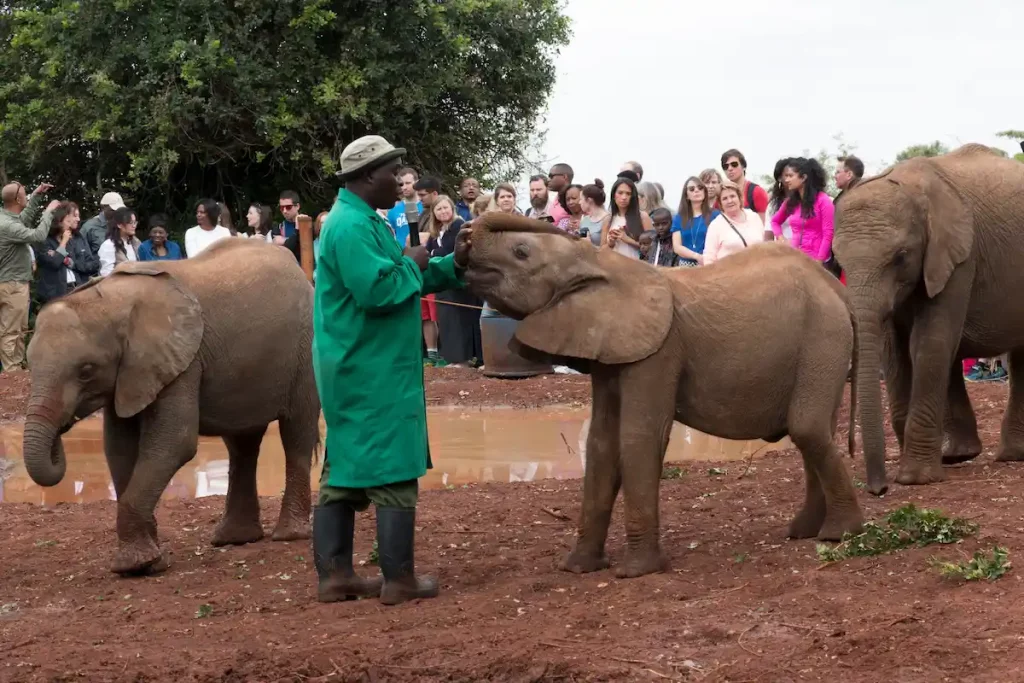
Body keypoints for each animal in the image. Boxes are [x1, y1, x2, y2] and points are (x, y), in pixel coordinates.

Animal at [23, 238, 320, 575]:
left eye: (86, 371)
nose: (62, 428)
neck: (112, 300)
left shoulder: (181, 363)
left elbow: (174, 443)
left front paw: (137, 566)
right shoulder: (131, 372)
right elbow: (119, 448)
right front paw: (150, 563)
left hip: (306, 348)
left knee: (296, 432)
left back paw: (288, 535)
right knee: (242, 443)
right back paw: (234, 539)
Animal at [463, 213, 864, 578]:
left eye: (521, 252)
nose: (462, 235)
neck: (599, 266)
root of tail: (838, 289)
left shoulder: (658, 353)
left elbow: (638, 437)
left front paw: (635, 572)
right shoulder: (608, 349)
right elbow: (601, 443)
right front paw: (577, 568)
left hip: (823, 335)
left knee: (808, 428)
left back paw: (840, 534)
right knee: (815, 433)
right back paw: (803, 532)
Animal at [833, 143, 1024, 495]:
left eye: (900, 257)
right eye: (838, 260)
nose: (878, 489)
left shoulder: (960, 256)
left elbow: (929, 343)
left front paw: (915, 478)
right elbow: (893, 350)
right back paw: (970, 454)